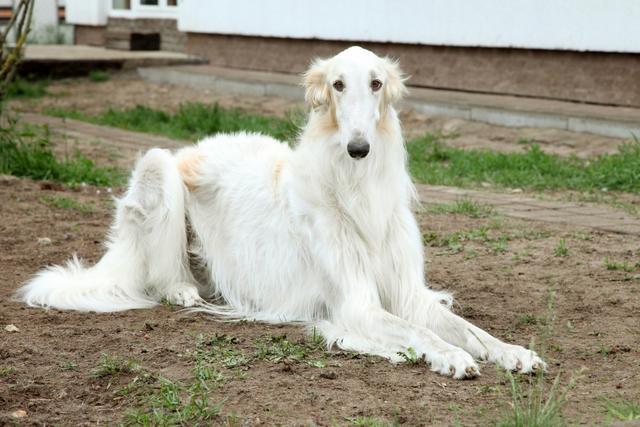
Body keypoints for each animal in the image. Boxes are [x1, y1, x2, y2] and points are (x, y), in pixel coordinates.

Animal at [15, 46, 544, 380]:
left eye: (376, 84)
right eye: (337, 84)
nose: (358, 147)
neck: (355, 188)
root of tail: (193, 147)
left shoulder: (409, 293)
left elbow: (468, 329)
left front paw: (513, 352)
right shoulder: (357, 303)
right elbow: (419, 332)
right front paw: (449, 357)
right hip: (158, 166)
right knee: (163, 273)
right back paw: (184, 291)